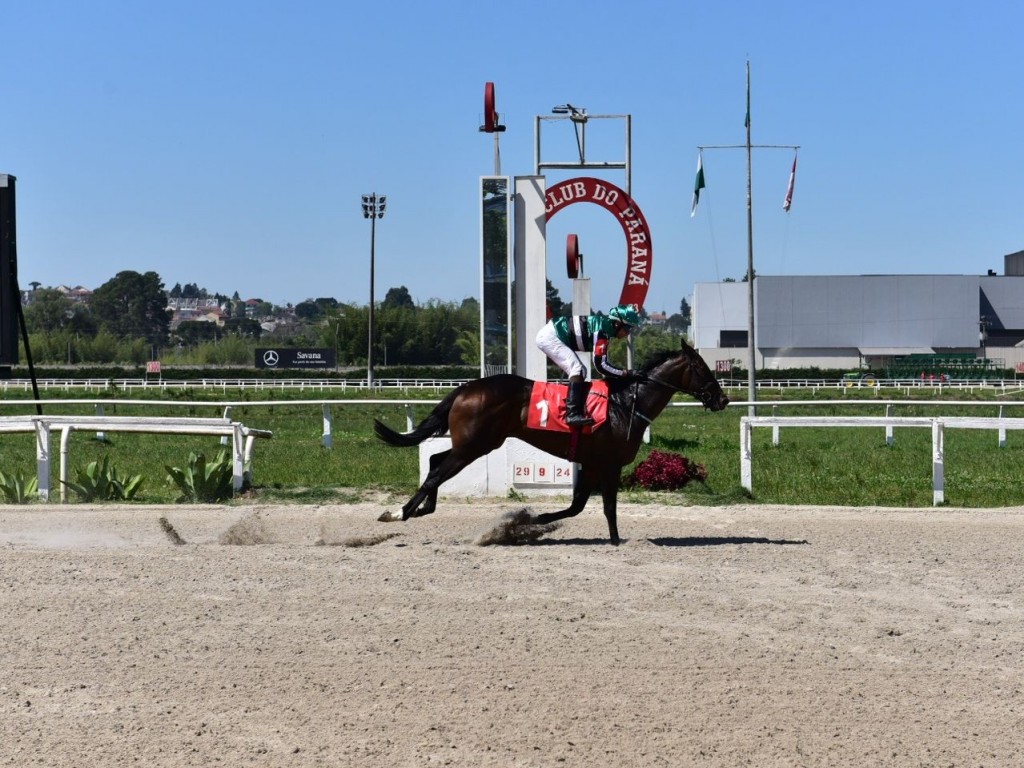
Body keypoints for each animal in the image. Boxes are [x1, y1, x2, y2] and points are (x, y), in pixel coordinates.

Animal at [374, 339, 729, 544]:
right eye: (702, 368)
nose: (723, 399)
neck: (626, 403)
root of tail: (466, 388)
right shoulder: (610, 464)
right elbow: (608, 507)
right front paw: (616, 541)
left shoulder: (591, 463)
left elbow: (577, 506)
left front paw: (531, 522)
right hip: (474, 446)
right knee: (436, 471)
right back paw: (400, 512)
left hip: (473, 444)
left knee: (435, 461)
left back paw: (422, 509)